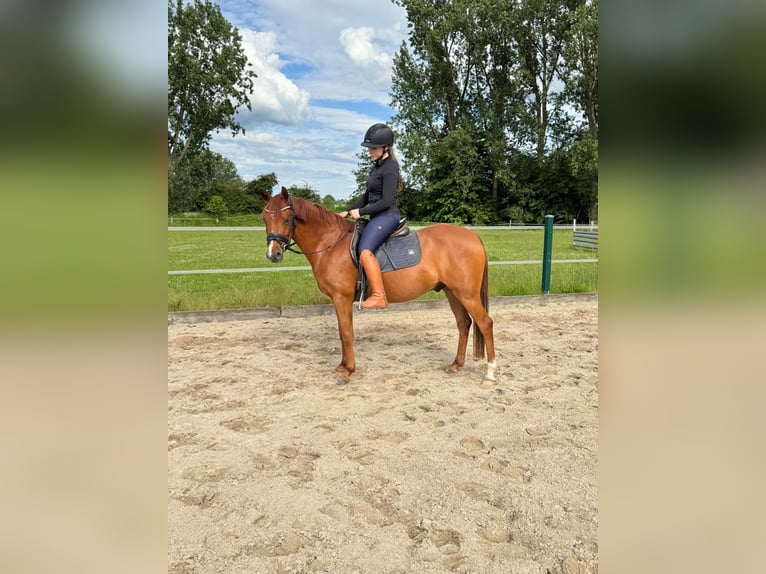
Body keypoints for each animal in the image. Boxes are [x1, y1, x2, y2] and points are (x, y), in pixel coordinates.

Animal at [260, 187, 497, 386]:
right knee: (464, 323)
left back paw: (490, 374)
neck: (330, 244)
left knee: (485, 323)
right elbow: (342, 332)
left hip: (467, 294)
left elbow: (346, 333)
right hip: (452, 292)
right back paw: (456, 365)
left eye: (286, 218)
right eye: (264, 217)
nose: (274, 254)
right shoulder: (339, 300)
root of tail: (473, 235)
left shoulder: (341, 297)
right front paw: (342, 366)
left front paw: (348, 372)